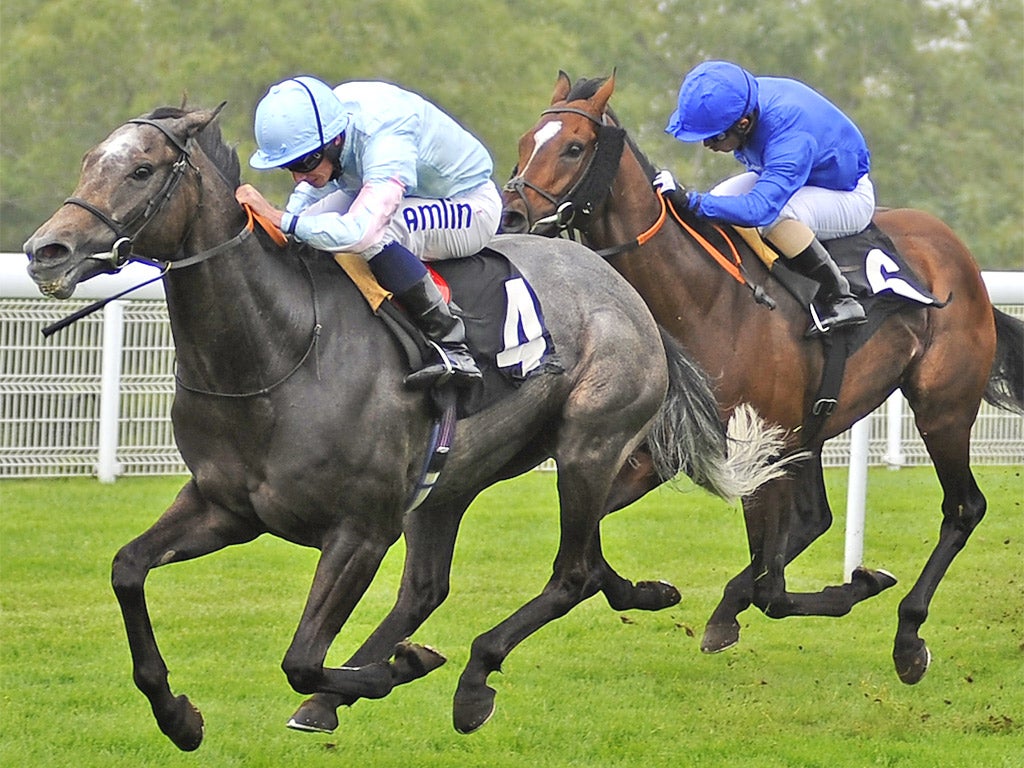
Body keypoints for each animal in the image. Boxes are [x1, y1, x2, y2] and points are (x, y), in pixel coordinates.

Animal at [24, 105, 786, 749]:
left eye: (142, 170)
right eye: (90, 160)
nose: (46, 251)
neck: (279, 351)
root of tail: (625, 290)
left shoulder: (360, 529)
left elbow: (301, 658)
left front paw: (403, 668)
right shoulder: (225, 507)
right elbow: (127, 570)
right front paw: (179, 716)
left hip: (587, 446)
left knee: (571, 572)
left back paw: (470, 680)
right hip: (451, 482)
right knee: (464, 582)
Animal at [503, 70, 1024, 684]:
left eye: (574, 147)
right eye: (526, 140)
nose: (511, 215)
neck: (705, 299)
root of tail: (955, 252)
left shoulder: (758, 449)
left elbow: (771, 588)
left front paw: (855, 586)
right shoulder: (668, 449)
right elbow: (597, 537)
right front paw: (651, 592)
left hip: (942, 406)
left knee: (962, 508)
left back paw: (908, 636)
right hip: (815, 427)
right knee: (815, 519)